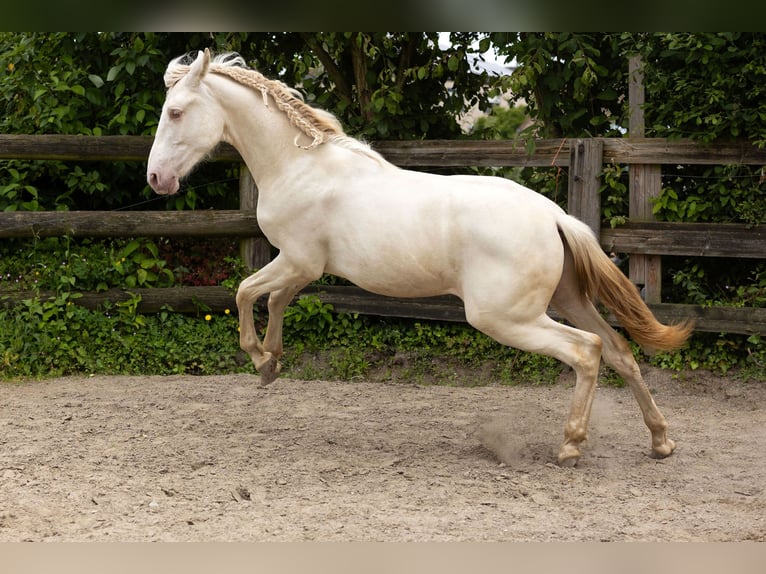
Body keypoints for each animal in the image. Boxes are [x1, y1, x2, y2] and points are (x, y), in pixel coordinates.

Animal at [147, 50, 692, 468]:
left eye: (175, 112)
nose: (157, 179)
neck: (302, 166)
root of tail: (555, 216)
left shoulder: (298, 261)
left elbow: (245, 293)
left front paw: (260, 359)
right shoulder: (300, 267)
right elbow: (274, 302)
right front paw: (271, 365)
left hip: (506, 317)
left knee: (587, 351)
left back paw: (571, 447)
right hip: (568, 301)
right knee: (619, 351)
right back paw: (661, 441)